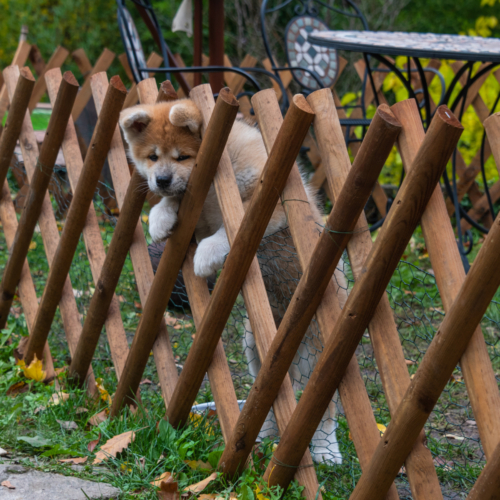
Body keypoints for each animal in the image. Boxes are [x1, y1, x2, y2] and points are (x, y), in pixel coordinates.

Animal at [120, 99, 346, 462]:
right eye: (152, 157)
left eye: (182, 156)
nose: (162, 180)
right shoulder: (199, 215)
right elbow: (177, 204)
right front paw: (160, 218)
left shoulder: (271, 205)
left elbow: (235, 227)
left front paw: (206, 255)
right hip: (257, 349)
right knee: (270, 401)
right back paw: (264, 437)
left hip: (316, 354)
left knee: (324, 412)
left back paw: (327, 451)